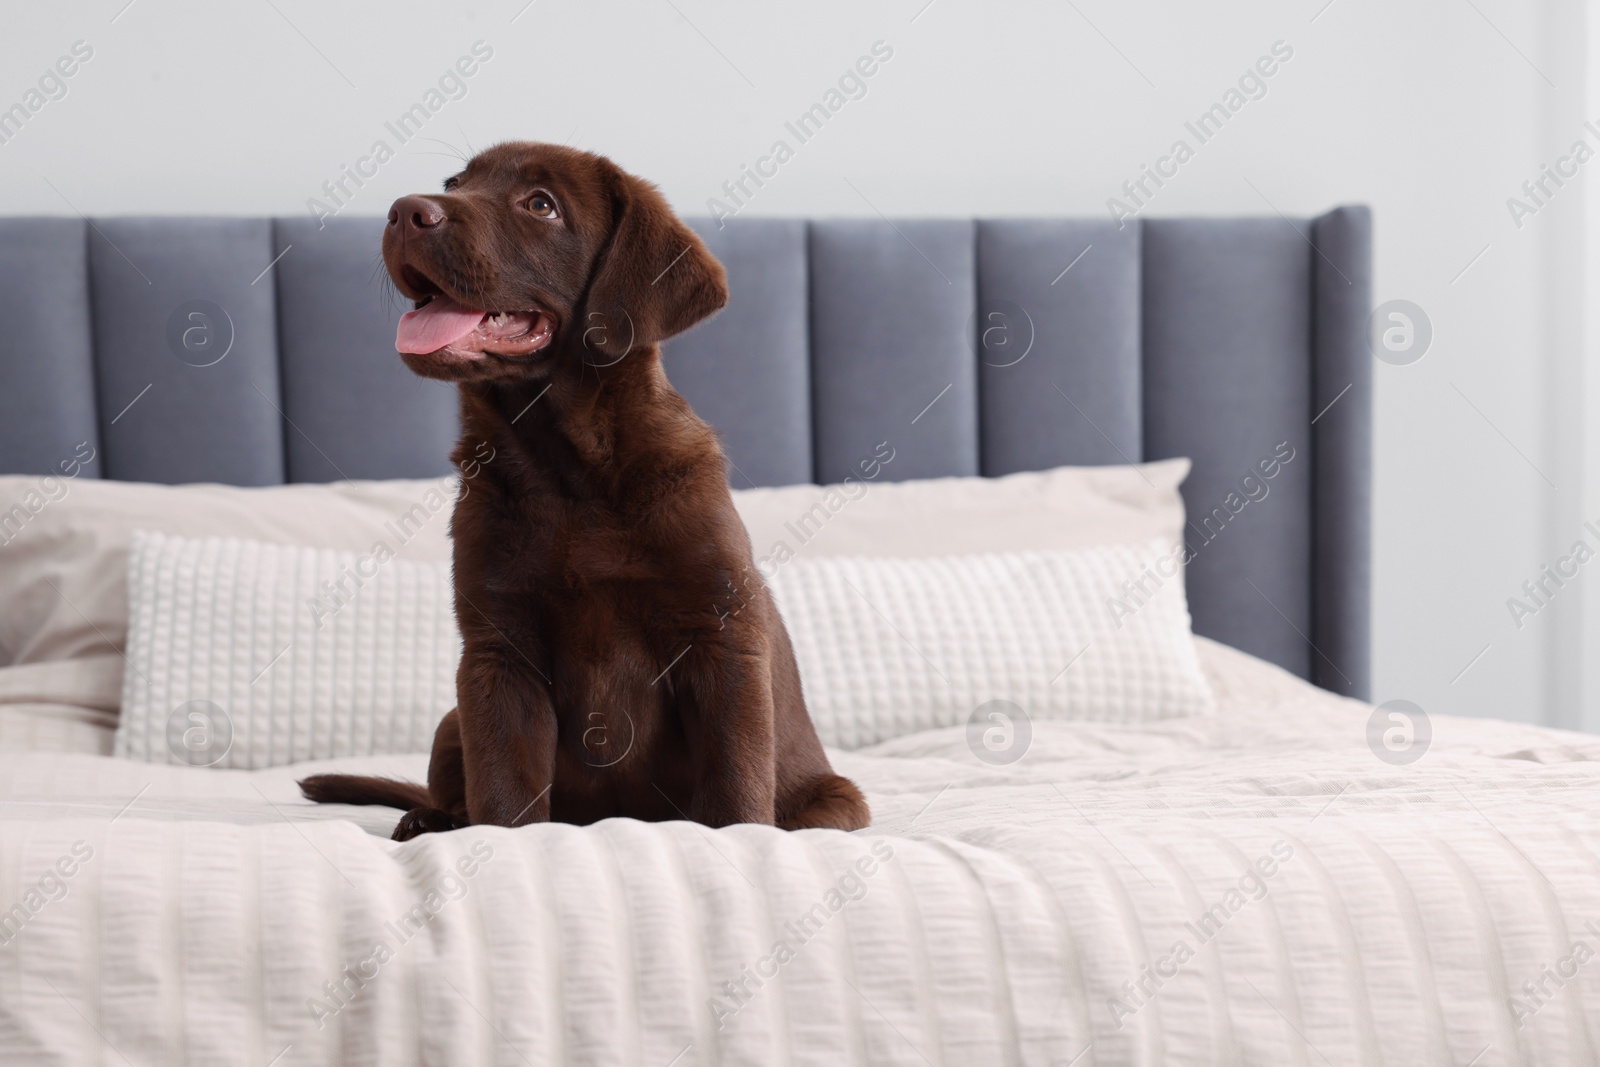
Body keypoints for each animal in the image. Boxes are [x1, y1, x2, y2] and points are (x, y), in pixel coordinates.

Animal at [304, 143, 870, 844]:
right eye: (454, 183)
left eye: (540, 204)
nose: (405, 211)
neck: (568, 475)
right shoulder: (498, 652)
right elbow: (503, 795)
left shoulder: (722, 639)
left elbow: (736, 787)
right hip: (451, 719)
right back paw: (430, 819)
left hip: (834, 801)